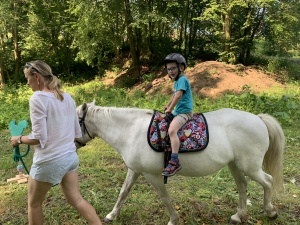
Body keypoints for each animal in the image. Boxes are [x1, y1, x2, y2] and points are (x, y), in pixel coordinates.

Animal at [76, 102, 284, 225]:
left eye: (74, 121)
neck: (131, 130)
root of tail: (258, 119)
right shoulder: (134, 170)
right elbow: (123, 192)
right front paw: (111, 215)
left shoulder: (152, 175)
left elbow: (164, 197)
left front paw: (173, 220)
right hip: (235, 165)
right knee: (242, 186)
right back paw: (238, 216)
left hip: (250, 167)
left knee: (268, 181)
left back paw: (271, 212)